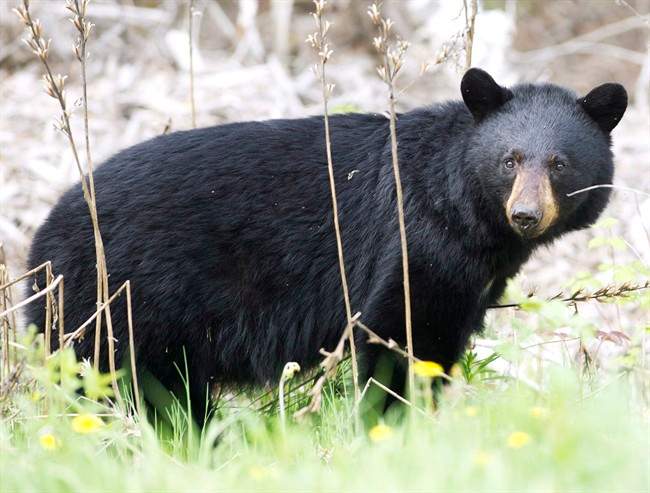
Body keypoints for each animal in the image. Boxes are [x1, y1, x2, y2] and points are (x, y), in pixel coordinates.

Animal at [26, 68, 627, 420]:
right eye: (510, 161)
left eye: (559, 164)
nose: (525, 215)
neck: (467, 216)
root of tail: (42, 237)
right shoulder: (414, 238)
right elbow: (403, 330)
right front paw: (392, 421)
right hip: (120, 296)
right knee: (114, 377)